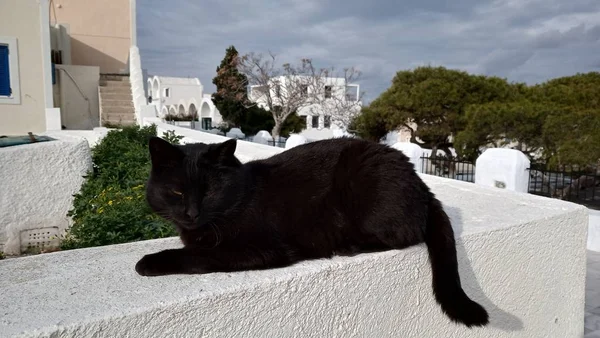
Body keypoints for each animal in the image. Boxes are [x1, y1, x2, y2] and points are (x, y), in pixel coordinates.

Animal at [135, 135, 488, 328]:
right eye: (177, 192)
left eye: (209, 192)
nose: (192, 213)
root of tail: (421, 182)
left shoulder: (259, 248)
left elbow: (197, 255)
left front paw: (149, 262)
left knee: (403, 233)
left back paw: (346, 246)